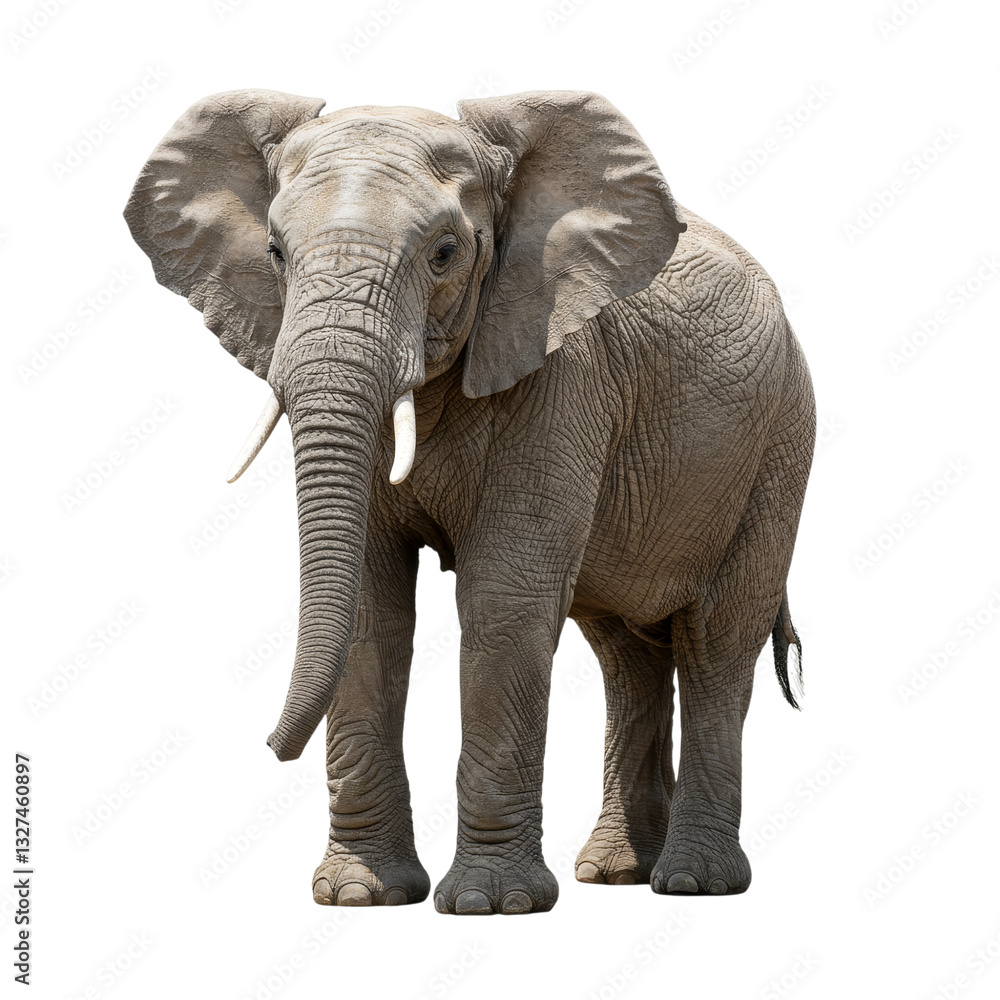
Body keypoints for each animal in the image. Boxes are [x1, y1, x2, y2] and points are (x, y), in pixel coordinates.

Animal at [124, 88, 814, 915]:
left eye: (446, 253)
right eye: (275, 253)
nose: (267, 746)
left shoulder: (560, 373)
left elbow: (504, 601)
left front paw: (492, 905)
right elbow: (371, 605)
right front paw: (360, 897)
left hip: (778, 451)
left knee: (716, 640)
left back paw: (693, 884)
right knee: (625, 653)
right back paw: (615, 874)